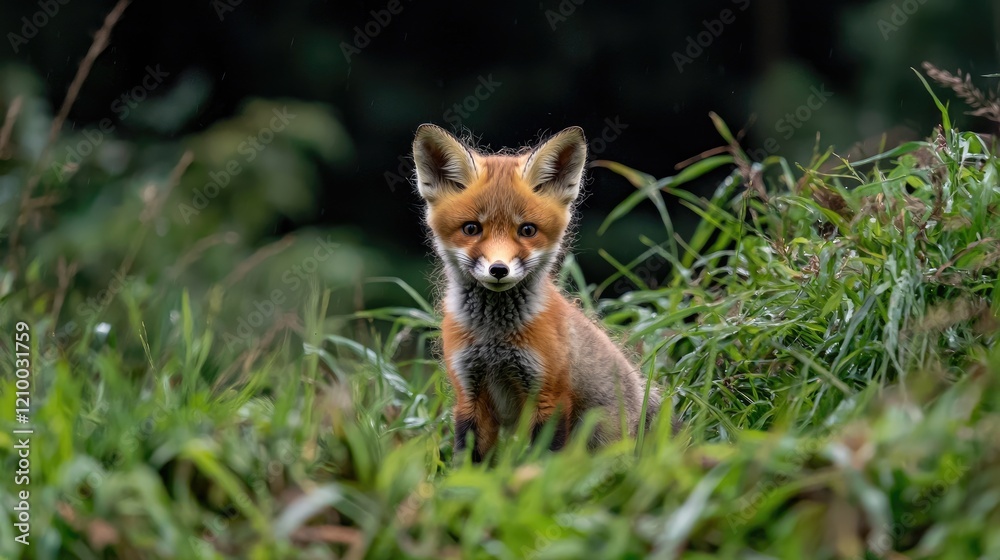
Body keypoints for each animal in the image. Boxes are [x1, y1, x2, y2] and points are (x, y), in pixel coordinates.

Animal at [412, 124, 661, 462]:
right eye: (471, 229)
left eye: (527, 230)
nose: (499, 269)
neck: (495, 339)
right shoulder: (468, 392)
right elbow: (468, 459)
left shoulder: (548, 395)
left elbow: (544, 461)